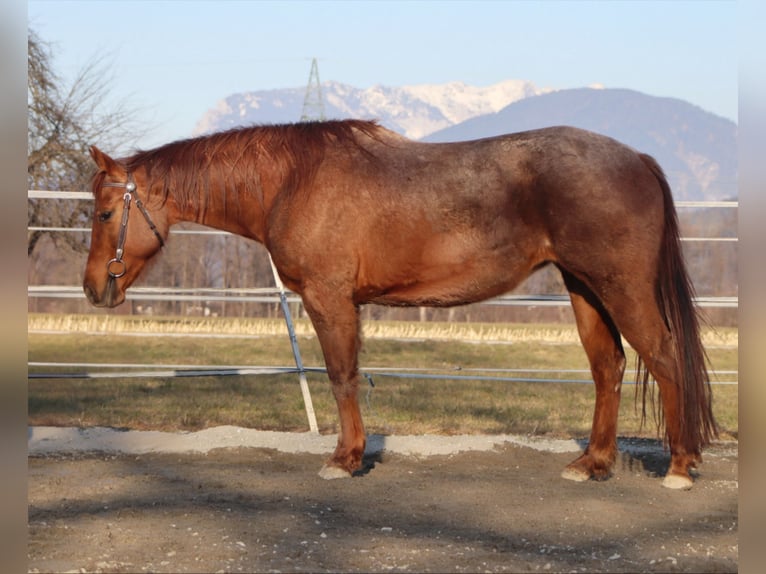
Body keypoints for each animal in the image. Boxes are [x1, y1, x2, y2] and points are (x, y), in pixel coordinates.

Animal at [81, 120, 716, 490]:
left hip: (619, 287)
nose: (93, 288)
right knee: (609, 368)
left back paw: (680, 466)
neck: (292, 179)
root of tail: (637, 157)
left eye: (106, 213)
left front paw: (345, 458)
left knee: (664, 357)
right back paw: (593, 463)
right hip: (584, 289)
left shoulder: (330, 299)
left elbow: (342, 376)